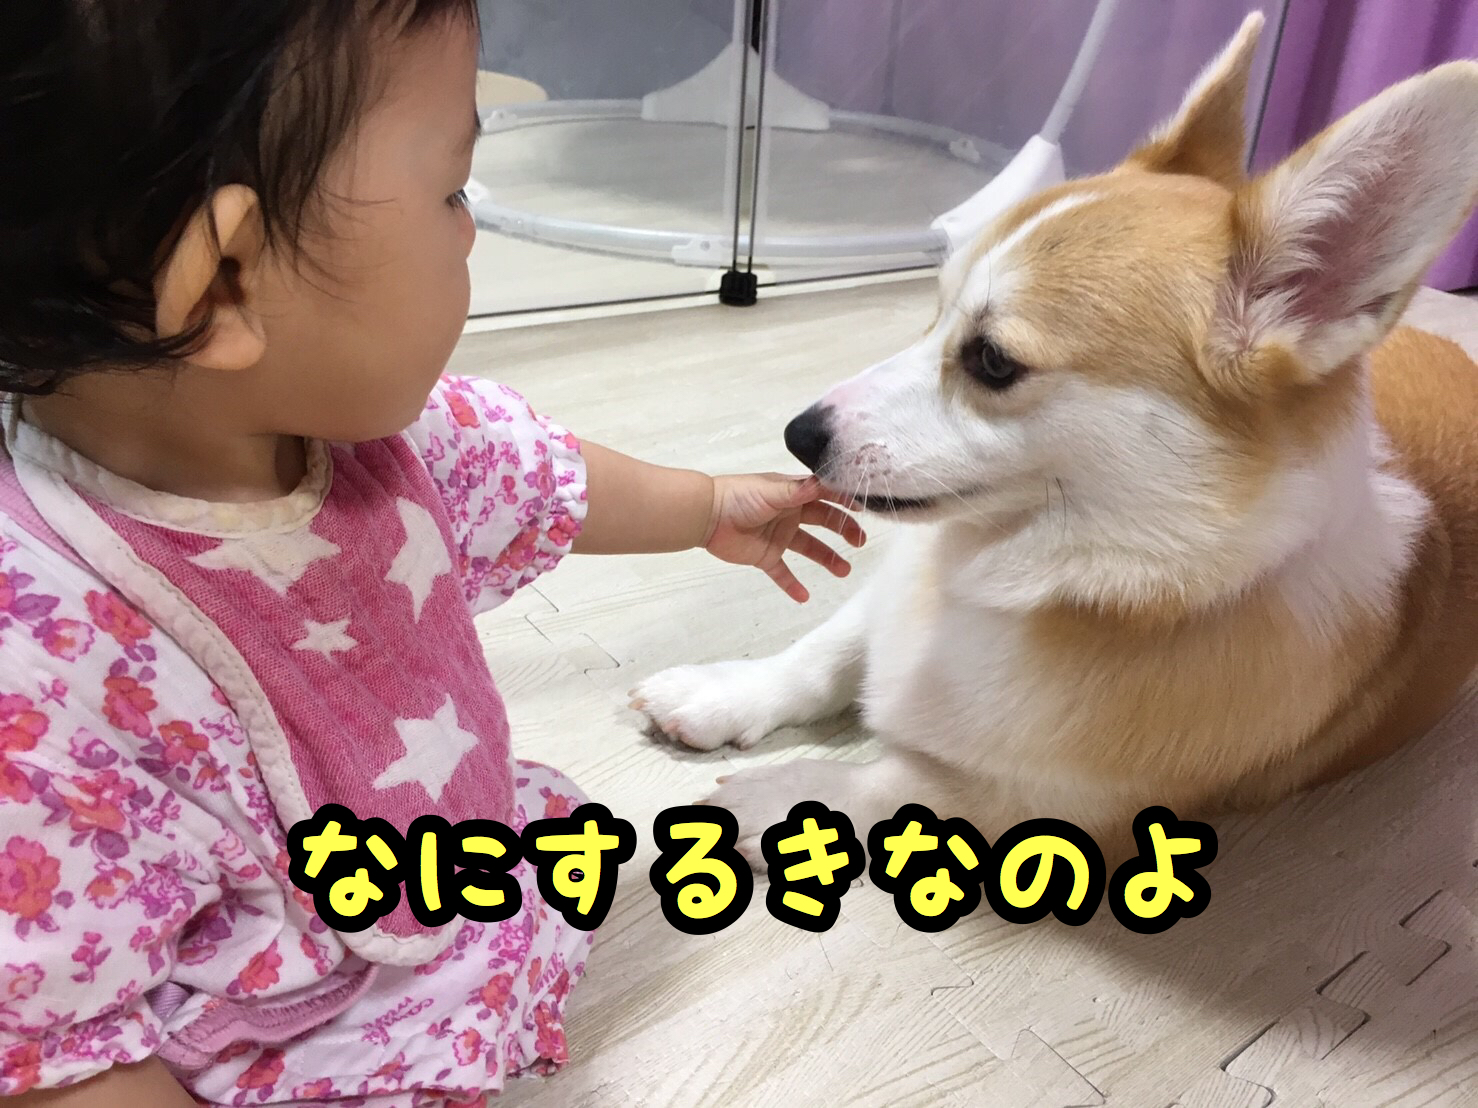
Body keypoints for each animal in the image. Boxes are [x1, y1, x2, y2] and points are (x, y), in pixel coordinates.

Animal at [632, 13, 1478, 866]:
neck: (1041, 580)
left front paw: (776, 804)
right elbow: (823, 652)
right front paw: (723, 691)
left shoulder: (1036, 807)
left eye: (993, 361)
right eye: (931, 313)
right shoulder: (885, 598)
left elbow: (880, 785)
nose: (797, 435)